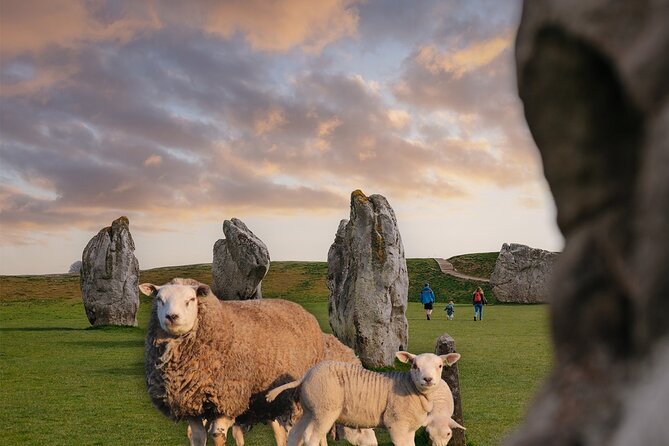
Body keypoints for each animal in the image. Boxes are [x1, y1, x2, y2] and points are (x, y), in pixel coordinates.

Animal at [142, 278, 326, 446]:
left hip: (296, 397)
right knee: (280, 433)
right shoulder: (190, 404)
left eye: (191, 300)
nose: (171, 316)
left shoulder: (228, 398)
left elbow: (217, 436)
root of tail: (303, 311)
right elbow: (197, 438)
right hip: (269, 400)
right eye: (159, 299)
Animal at [264, 350, 460, 444]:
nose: (428, 379)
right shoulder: (397, 424)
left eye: (440, 366)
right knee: (311, 437)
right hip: (324, 410)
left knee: (295, 435)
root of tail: (306, 375)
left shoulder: (409, 428)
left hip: (310, 409)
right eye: (414, 366)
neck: (410, 387)